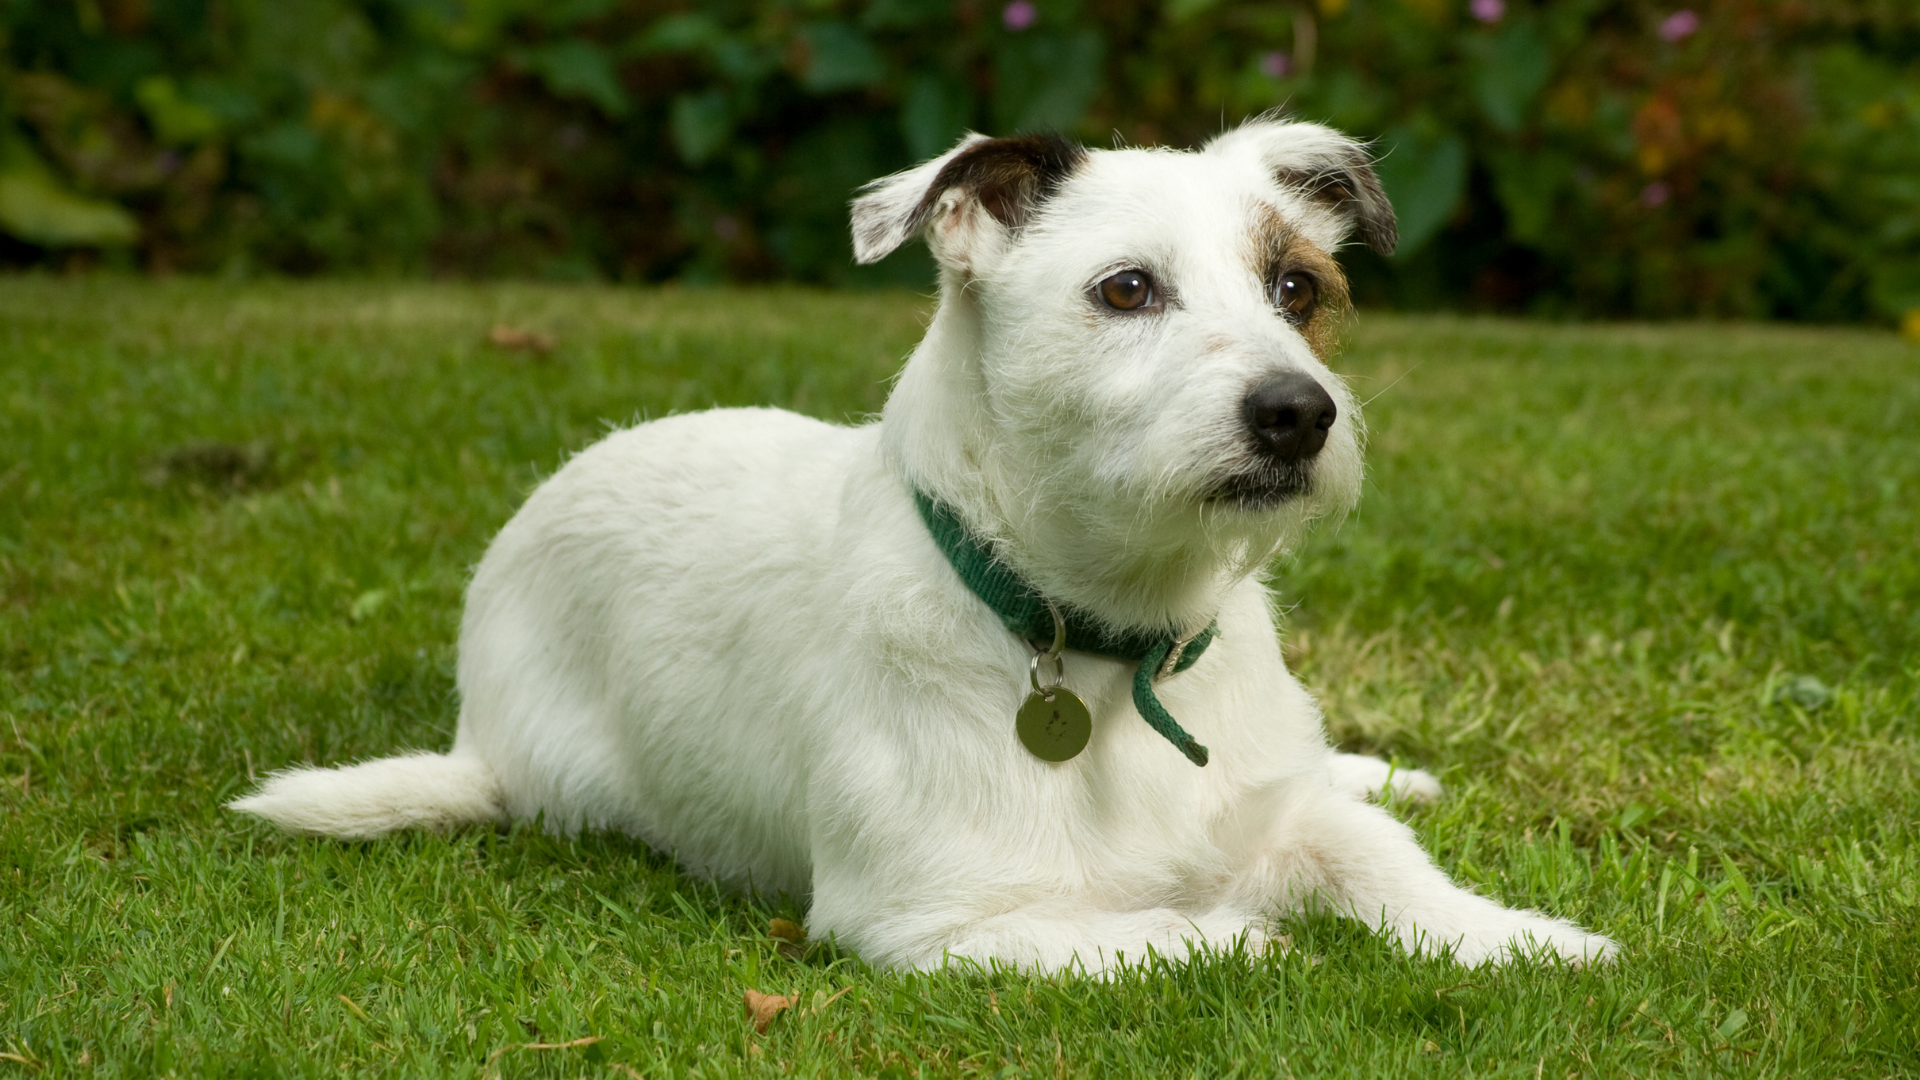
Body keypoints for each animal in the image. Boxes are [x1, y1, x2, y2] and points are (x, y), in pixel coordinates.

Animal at [236, 115, 1620, 968]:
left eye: (1299, 290)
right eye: (1127, 289)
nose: (1297, 414)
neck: (1118, 644)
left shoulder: (1279, 814)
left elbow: (1382, 862)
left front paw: (1522, 938)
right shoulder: (930, 924)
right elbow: (1188, 934)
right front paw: (1255, 934)